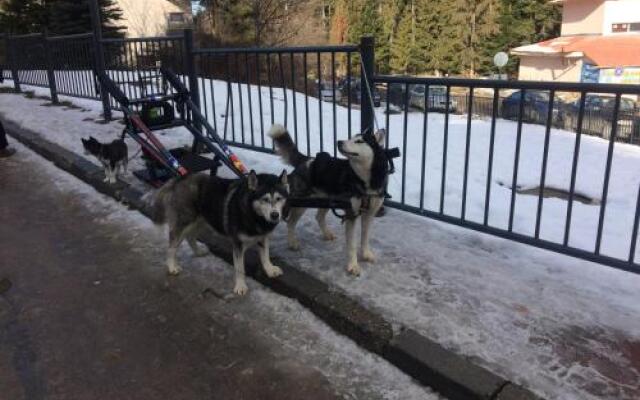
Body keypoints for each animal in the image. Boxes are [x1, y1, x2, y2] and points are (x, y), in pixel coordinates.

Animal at [152, 170, 288, 296]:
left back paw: (198, 252)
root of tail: (180, 178)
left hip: (202, 221)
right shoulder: (237, 244)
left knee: (190, 237)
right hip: (185, 222)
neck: (253, 214)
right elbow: (240, 268)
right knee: (172, 247)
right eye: (265, 199)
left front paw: (269, 269)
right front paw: (240, 285)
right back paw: (172, 266)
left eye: (278, 198)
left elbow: (265, 255)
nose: (275, 215)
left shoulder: (263, 237)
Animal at [268, 123, 388, 276]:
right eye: (351, 137)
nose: (339, 142)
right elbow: (352, 245)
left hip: (326, 201)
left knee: (318, 217)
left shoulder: (369, 214)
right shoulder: (351, 214)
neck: (365, 181)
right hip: (301, 203)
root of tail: (307, 159)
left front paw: (366, 254)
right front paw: (353, 266)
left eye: (359, 141)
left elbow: (365, 237)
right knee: (290, 222)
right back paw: (292, 242)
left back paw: (326, 234)